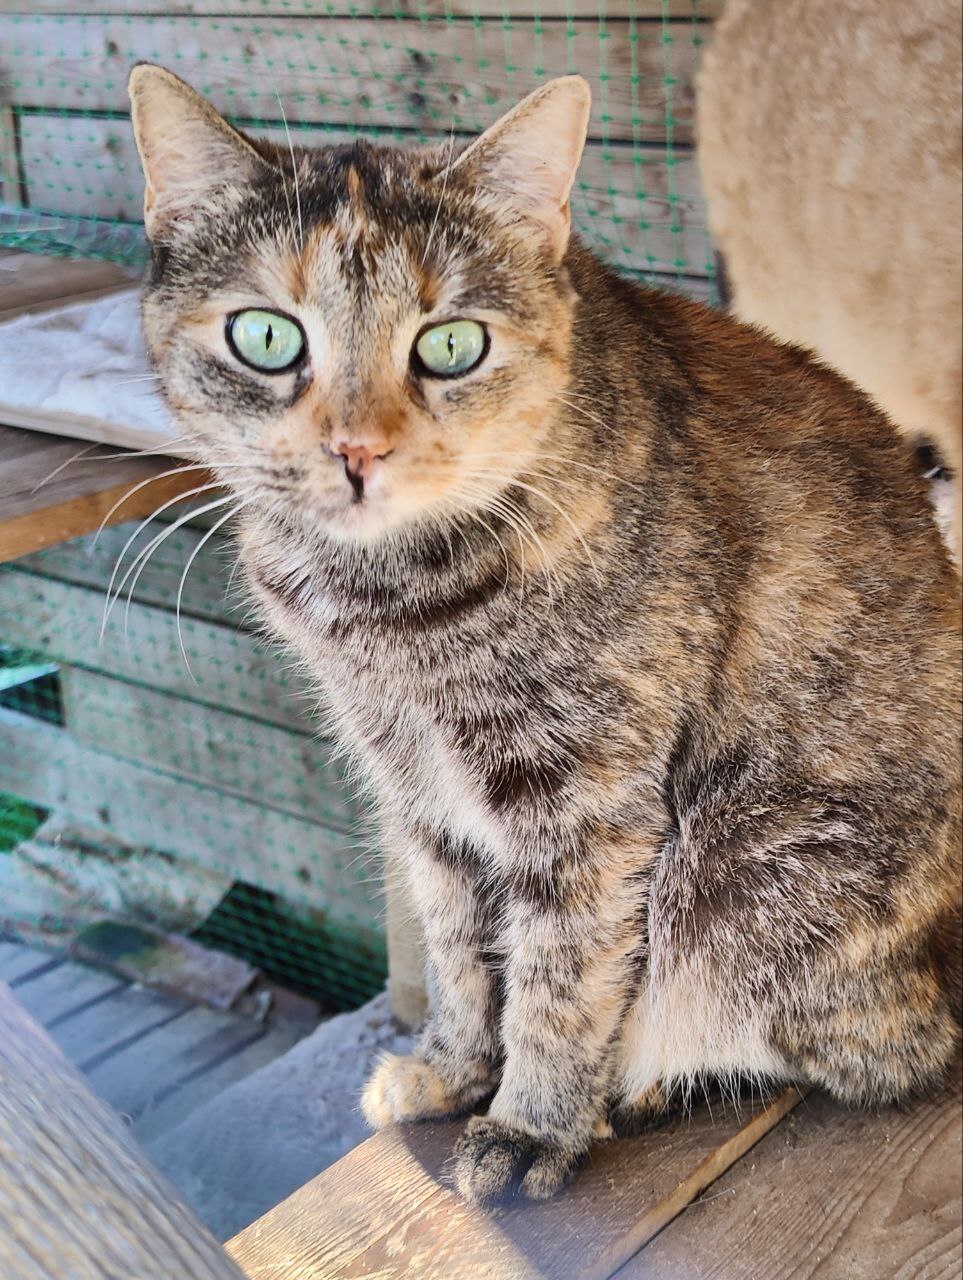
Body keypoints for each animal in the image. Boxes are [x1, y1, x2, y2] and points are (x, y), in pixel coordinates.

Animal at [129, 62, 962, 1198]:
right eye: (265, 335)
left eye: (450, 344)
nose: (357, 448)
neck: (384, 606)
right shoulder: (416, 792)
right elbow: (457, 949)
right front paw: (451, 1070)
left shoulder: (584, 802)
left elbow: (559, 975)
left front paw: (530, 1119)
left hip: (754, 867)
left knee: (869, 1051)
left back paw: (643, 1087)